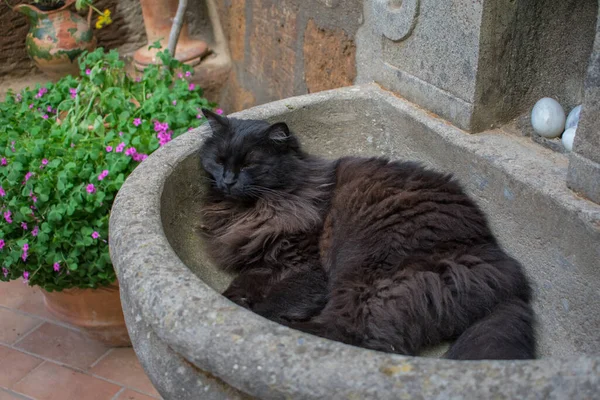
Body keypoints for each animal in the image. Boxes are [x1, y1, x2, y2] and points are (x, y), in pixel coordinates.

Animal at [199, 108, 536, 360]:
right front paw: (234, 297)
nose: (228, 181)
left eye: (250, 164)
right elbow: (241, 283)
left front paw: (247, 309)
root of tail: (507, 279)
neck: (253, 211)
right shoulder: (263, 264)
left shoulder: (308, 268)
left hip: (362, 272)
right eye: (219, 160)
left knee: (350, 335)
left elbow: (275, 301)